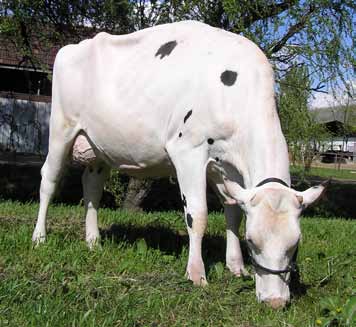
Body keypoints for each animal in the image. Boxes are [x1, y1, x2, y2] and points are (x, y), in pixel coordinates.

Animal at [32, 20, 326, 308]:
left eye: (295, 243)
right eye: (253, 241)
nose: (275, 302)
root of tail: (74, 46)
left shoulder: (226, 167)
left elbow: (233, 210)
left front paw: (236, 267)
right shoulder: (188, 151)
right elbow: (198, 214)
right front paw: (196, 274)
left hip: (100, 147)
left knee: (91, 186)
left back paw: (94, 241)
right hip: (61, 130)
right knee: (49, 180)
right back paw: (39, 238)